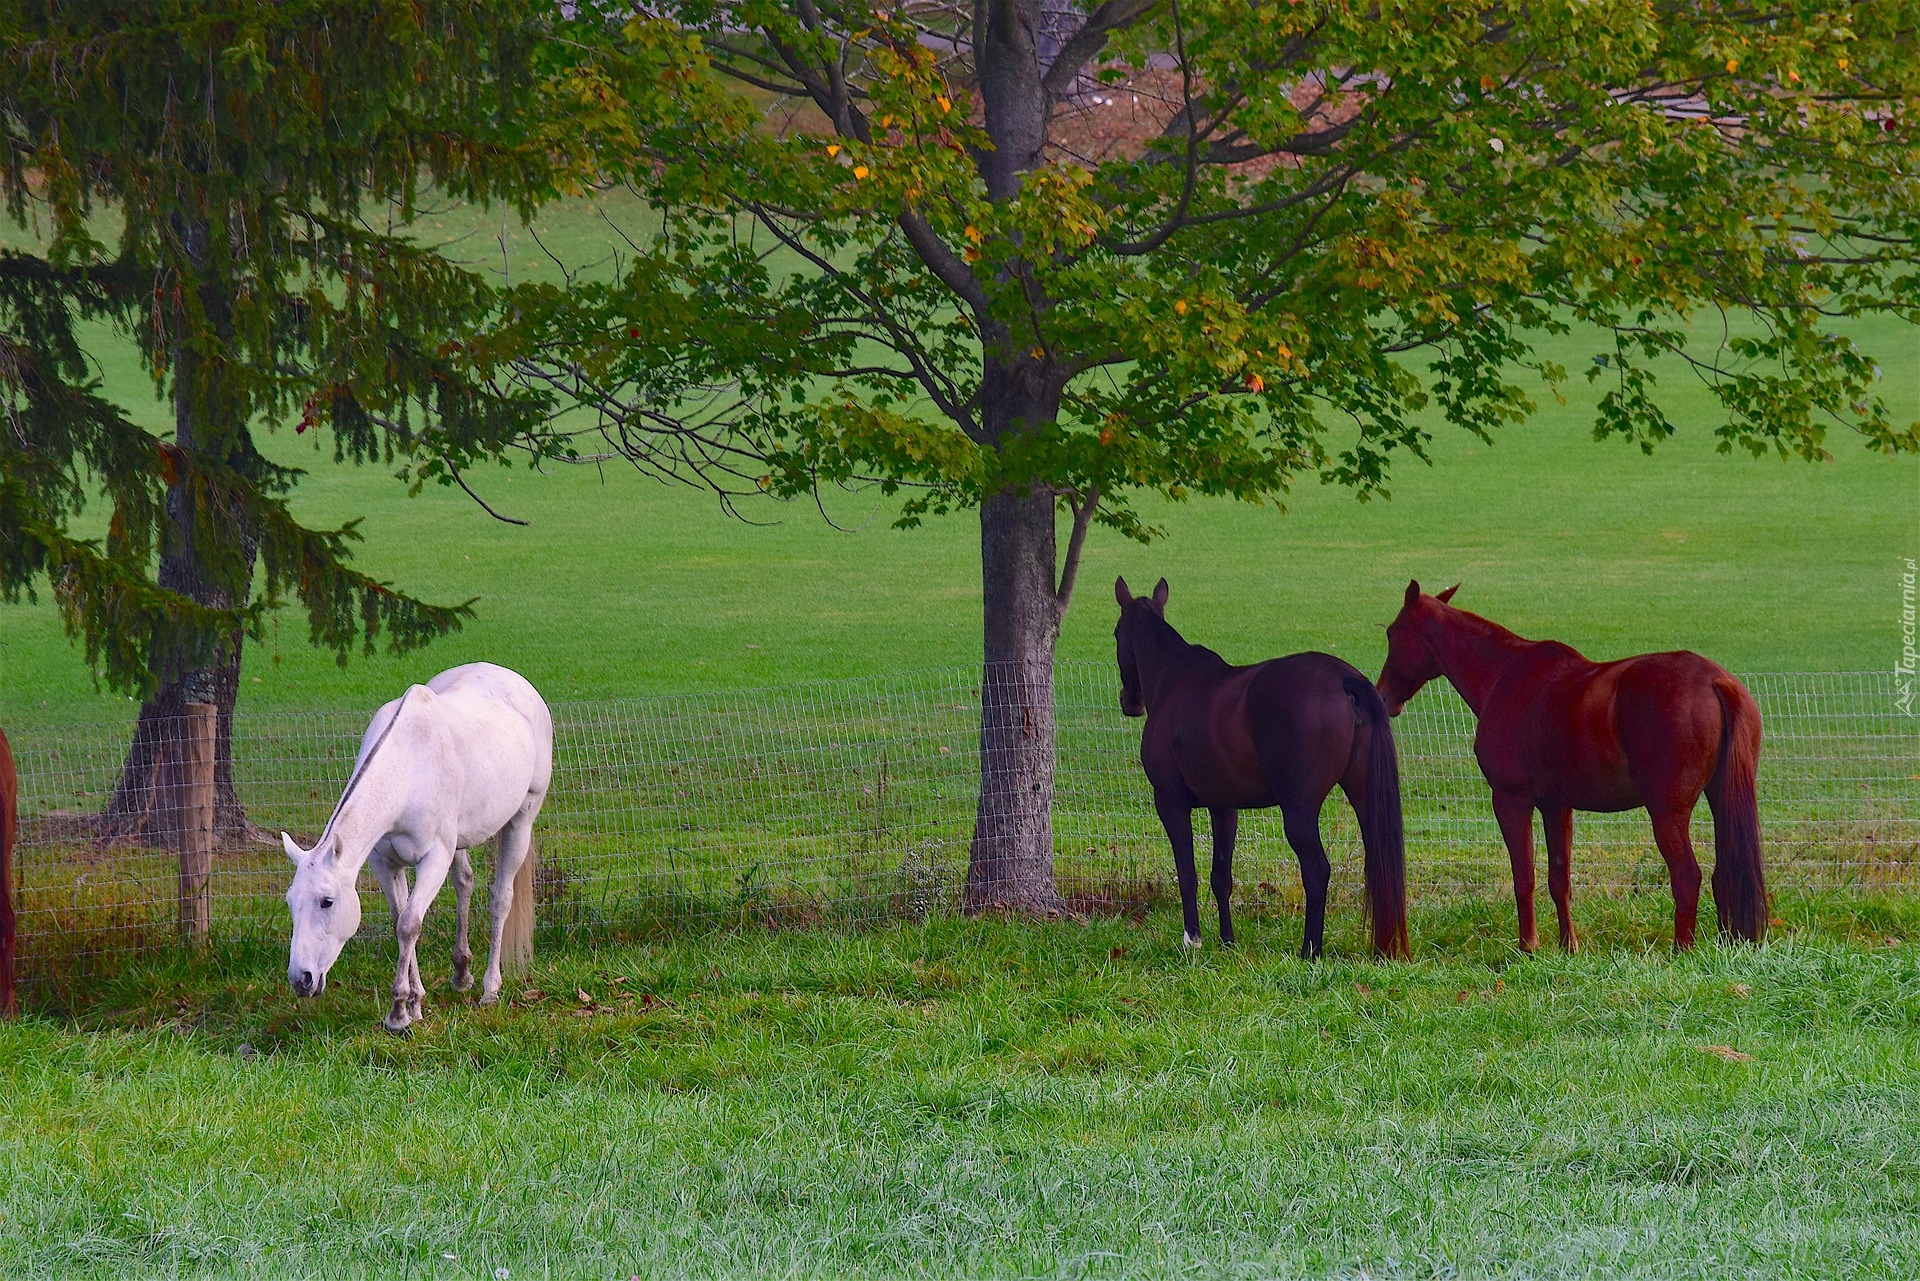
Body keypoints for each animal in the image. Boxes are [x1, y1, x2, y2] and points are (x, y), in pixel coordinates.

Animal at [284, 660, 556, 1029]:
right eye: (290, 902)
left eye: (327, 902)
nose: (301, 979)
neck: (408, 768)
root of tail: (517, 682)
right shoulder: (385, 862)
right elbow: (401, 919)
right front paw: (414, 1004)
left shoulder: (434, 857)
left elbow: (410, 924)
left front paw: (399, 1011)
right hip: (462, 841)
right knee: (464, 884)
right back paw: (461, 973)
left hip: (521, 820)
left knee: (500, 899)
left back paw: (490, 989)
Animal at [1113, 576, 1413, 956]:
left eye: (1116, 634)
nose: (1129, 703)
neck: (1174, 681)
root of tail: (1341, 677)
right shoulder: (1224, 808)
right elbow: (1220, 876)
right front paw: (1227, 940)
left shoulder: (1170, 802)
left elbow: (1187, 872)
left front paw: (1192, 939)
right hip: (1363, 794)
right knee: (1378, 865)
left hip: (1299, 808)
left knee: (1316, 869)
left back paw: (1309, 950)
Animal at [1382, 580, 1766, 952]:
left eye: (1391, 632)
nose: (1383, 696)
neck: (1505, 674)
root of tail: (1715, 681)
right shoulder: (1557, 807)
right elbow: (1559, 879)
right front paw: (1569, 946)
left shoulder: (1510, 801)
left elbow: (1524, 877)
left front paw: (1528, 948)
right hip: (1719, 797)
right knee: (1723, 874)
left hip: (1667, 812)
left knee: (1687, 876)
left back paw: (1681, 950)